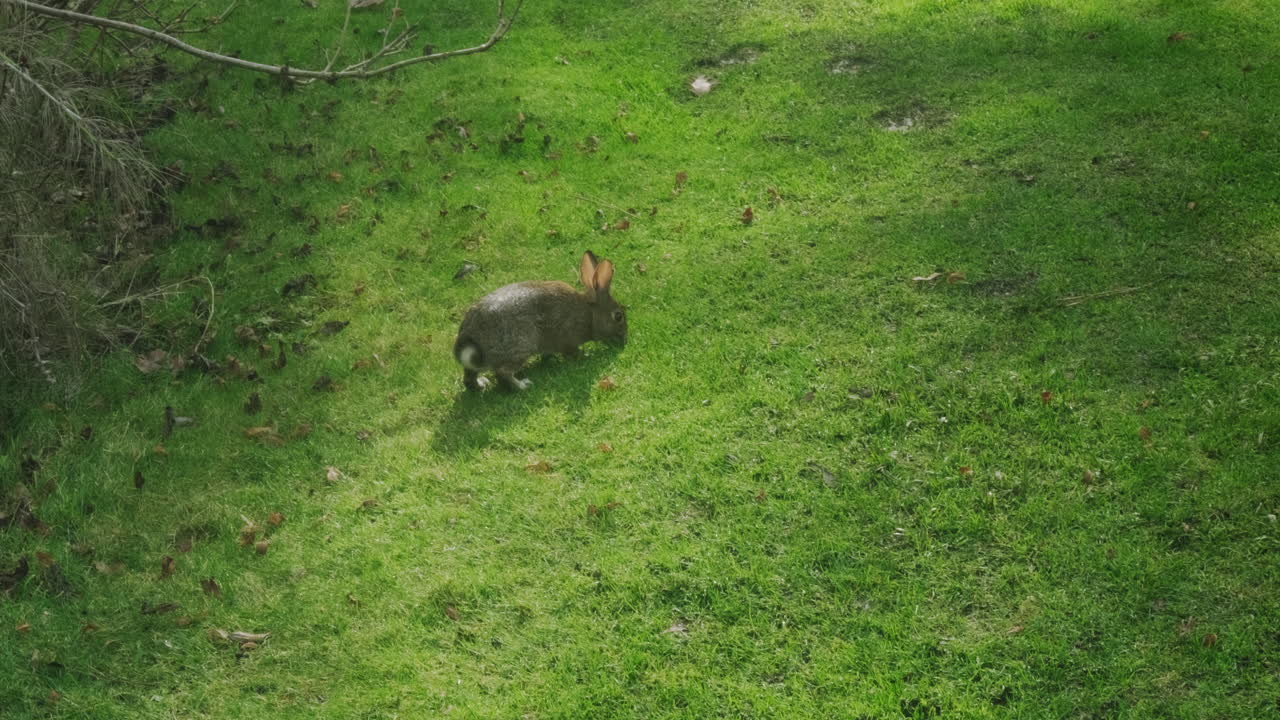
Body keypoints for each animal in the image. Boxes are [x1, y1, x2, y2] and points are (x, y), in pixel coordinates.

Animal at [453, 250, 626, 391]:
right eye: (618, 316)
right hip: (520, 346)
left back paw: (481, 384)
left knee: (468, 378)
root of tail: (470, 339)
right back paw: (523, 386)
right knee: (502, 373)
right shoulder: (568, 339)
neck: (589, 314)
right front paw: (586, 356)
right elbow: (572, 352)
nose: (624, 340)